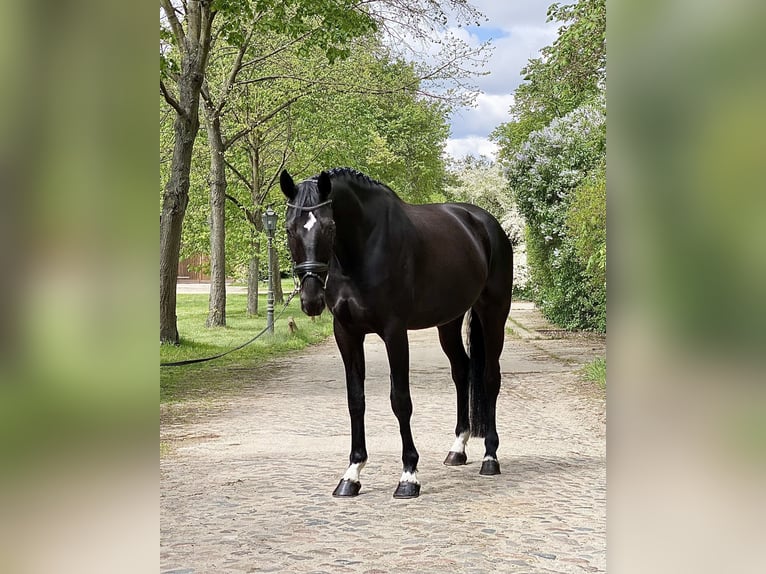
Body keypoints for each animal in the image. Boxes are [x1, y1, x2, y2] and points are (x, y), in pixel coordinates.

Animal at [280, 168, 512, 500]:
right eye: (289, 228)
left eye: (329, 226)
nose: (311, 300)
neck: (363, 248)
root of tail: (486, 223)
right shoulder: (347, 333)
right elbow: (356, 400)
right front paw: (351, 474)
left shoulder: (394, 332)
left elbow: (401, 400)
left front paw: (409, 475)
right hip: (448, 322)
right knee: (462, 370)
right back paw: (457, 449)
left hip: (493, 313)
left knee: (490, 377)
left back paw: (490, 457)